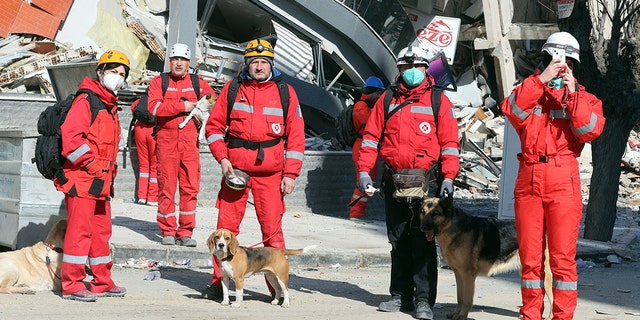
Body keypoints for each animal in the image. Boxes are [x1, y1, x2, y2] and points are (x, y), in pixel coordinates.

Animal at [418, 196, 552, 318]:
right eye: (423, 212)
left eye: (435, 213)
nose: (422, 228)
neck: (453, 227)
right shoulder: (458, 273)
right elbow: (460, 297)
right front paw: (456, 314)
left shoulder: (468, 274)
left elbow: (466, 299)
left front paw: (462, 316)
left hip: (546, 276)